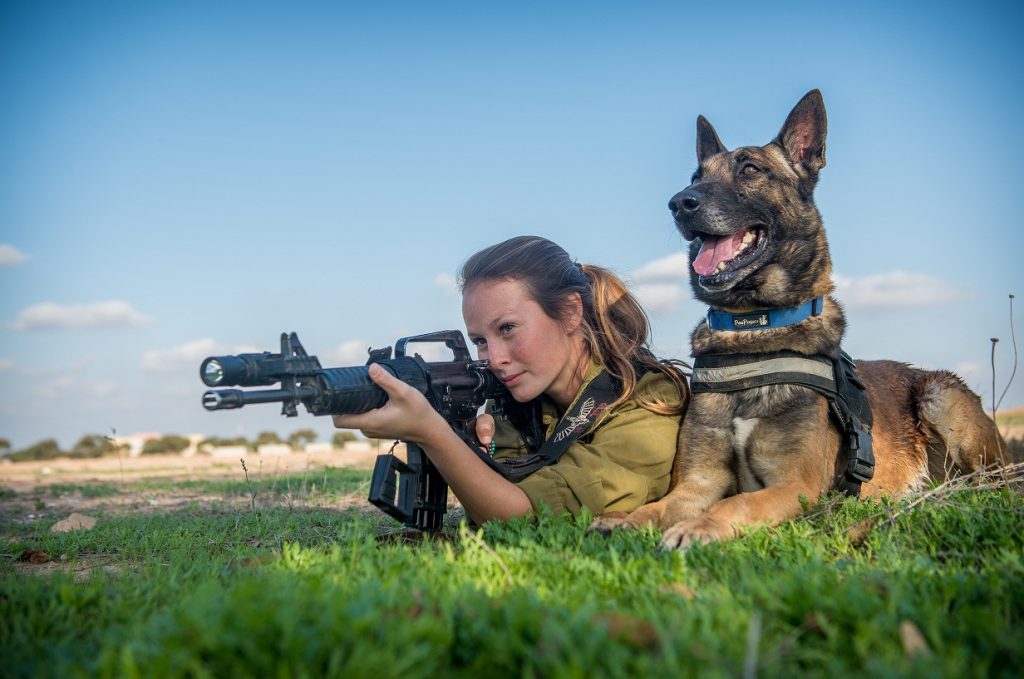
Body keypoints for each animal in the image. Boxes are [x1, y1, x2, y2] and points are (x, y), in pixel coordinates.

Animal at [591, 89, 1009, 548]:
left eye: (750, 169)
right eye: (696, 175)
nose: (680, 202)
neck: (754, 332)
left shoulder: (795, 486)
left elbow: (737, 503)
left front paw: (697, 528)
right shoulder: (698, 481)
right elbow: (659, 507)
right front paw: (626, 520)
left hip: (942, 398)